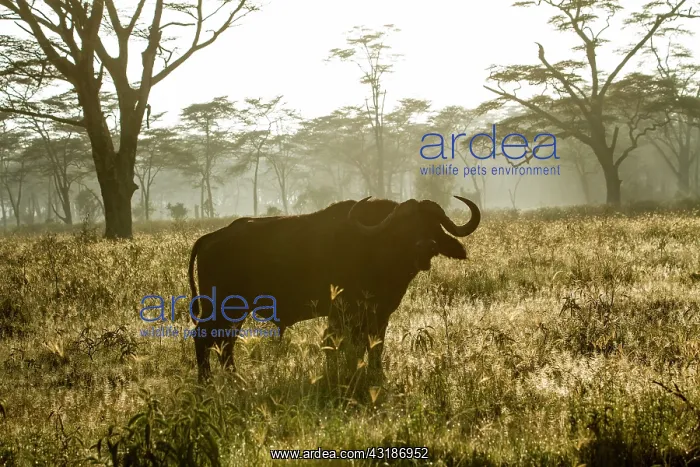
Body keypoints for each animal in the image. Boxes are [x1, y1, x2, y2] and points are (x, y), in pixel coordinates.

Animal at [188, 195, 480, 382]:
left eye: (432, 224)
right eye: (405, 227)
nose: (426, 246)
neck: (376, 246)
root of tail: (210, 238)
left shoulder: (379, 315)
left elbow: (373, 346)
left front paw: (375, 374)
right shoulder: (345, 313)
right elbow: (343, 346)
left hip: (235, 311)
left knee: (224, 342)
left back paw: (234, 379)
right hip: (223, 307)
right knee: (205, 338)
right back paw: (207, 381)